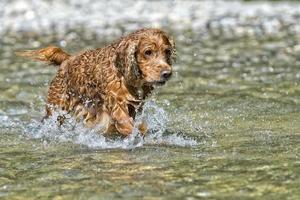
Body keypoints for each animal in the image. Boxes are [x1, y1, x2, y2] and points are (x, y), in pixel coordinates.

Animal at [17, 28, 176, 137]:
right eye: (148, 52)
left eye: (167, 51)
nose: (167, 73)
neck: (123, 73)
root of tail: (67, 59)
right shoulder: (114, 102)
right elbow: (125, 124)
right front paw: (139, 130)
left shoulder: (132, 105)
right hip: (56, 108)